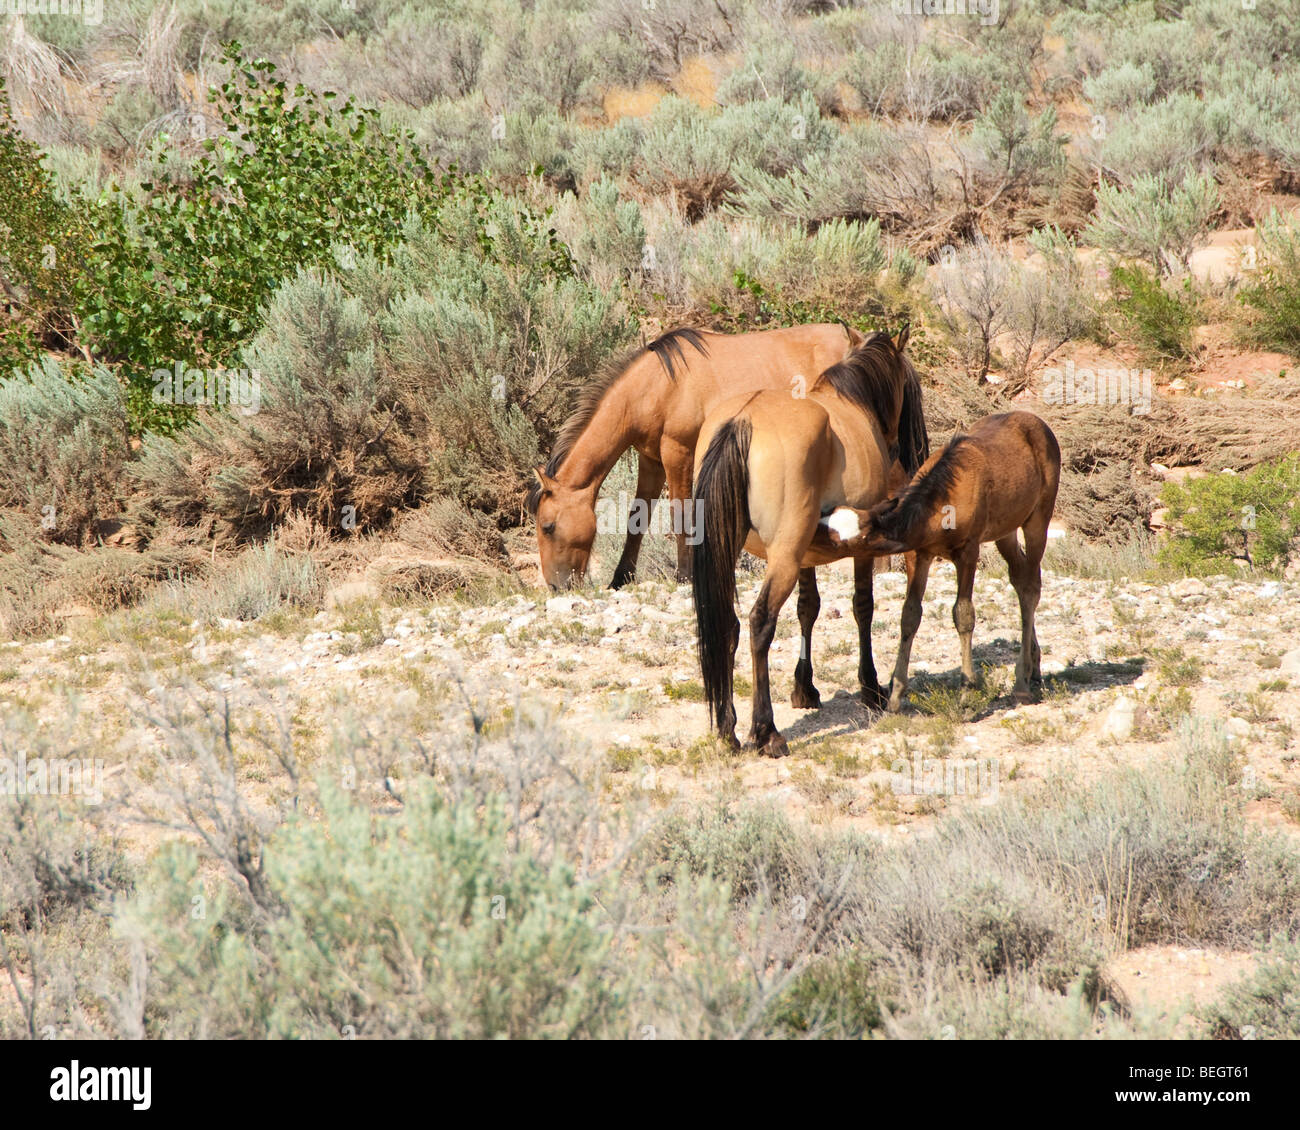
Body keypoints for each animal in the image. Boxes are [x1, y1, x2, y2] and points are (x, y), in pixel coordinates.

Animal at [527, 319, 863, 590]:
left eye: (548, 527)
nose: (556, 586)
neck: (656, 385)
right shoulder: (651, 461)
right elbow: (638, 517)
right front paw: (621, 577)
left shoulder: (678, 452)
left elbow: (681, 513)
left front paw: (685, 575)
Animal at [691, 330, 925, 754]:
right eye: (907, 384)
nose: (909, 450)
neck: (851, 402)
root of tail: (741, 421)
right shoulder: (861, 547)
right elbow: (863, 607)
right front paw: (870, 686)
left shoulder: (806, 556)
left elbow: (808, 609)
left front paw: (805, 688)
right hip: (781, 559)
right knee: (760, 623)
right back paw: (765, 731)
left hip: (734, 553)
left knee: (729, 626)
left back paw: (728, 729)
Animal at [821, 410, 1055, 707]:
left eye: (838, 539)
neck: (941, 506)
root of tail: (1039, 424)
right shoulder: (920, 554)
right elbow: (909, 614)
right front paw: (896, 695)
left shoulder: (968, 552)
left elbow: (963, 614)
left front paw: (967, 689)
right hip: (1006, 529)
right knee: (1020, 578)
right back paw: (1032, 667)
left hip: (1038, 517)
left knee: (1033, 585)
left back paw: (1022, 683)